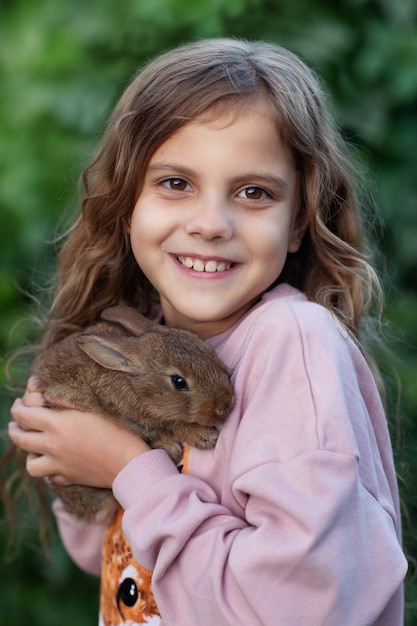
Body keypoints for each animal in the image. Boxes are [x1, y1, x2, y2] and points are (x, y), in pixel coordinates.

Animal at [31, 304, 234, 524]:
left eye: (209, 352)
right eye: (179, 382)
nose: (226, 404)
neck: (134, 384)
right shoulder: (128, 414)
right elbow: (172, 425)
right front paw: (204, 437)